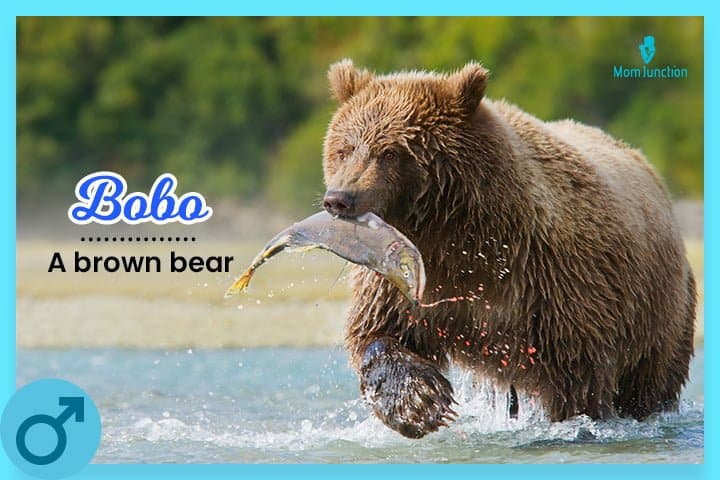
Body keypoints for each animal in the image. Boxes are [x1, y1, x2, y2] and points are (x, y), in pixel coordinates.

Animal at [321, 59, 696, 439]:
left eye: (390, 152)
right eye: (344, 148)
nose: (339, 198)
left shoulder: (552, 280)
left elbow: (577, 375)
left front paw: (577, 422)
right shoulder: (406, 280)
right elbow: (380, 330)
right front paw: (417, 403)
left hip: (659, 311)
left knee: (649, 383)